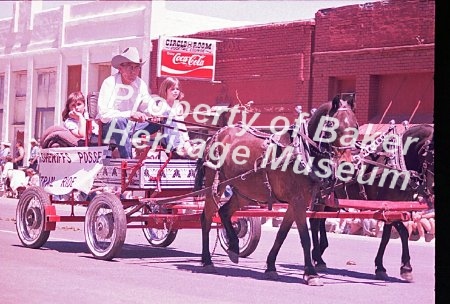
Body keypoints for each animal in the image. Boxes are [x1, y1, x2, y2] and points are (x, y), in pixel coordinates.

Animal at [195, 95, 356, 284]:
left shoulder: (296, 202)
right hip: (215, 182)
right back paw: (207, 260)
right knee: (206, 218)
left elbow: (282, 234)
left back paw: (234, 247)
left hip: (245, 191)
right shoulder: (298, 201)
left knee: (224, 211)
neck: (303, 152)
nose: (347, 167)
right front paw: (311, 273)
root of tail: (216, 134)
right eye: (332, 126)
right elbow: (305, 237)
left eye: (356, 126)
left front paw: (271, 266)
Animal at [310, 122, 432, 282]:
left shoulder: (395, 207)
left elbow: (392, 235)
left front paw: (396, 267)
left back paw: (320, 255)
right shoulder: (387, 207)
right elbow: (398, 233)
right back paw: (317, 255)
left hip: (329, 200)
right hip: (319, 197)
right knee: (314, 221)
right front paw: (395, 268)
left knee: (321, 220)